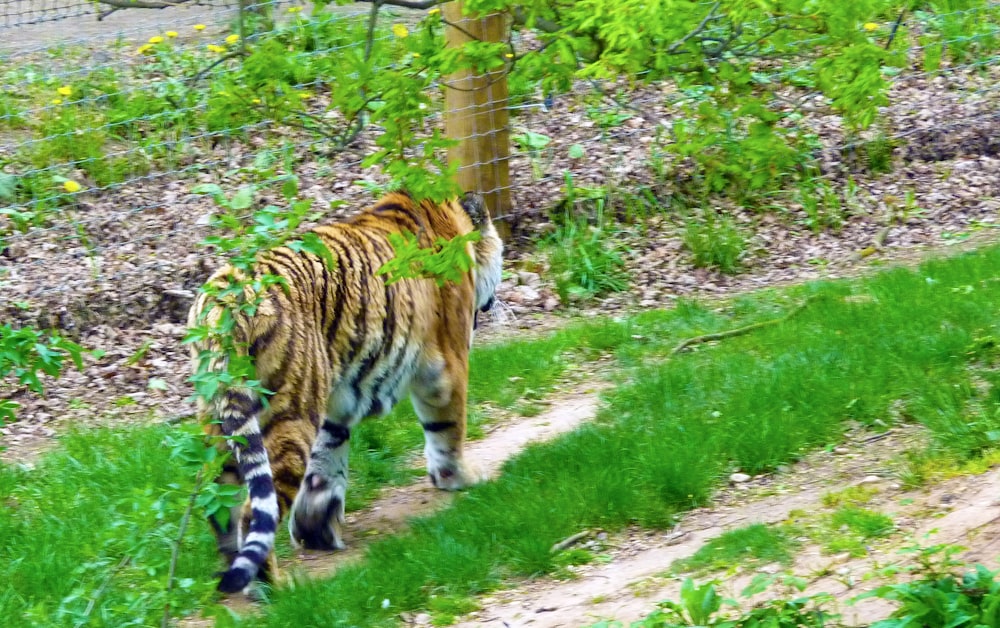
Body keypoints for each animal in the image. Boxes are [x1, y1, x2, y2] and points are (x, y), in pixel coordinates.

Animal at [187, 191, 504, 592]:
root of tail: (223, 299)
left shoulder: (337, 399)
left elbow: (327, 457)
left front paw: (315, 527)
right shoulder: (446, 367)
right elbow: (448, 431)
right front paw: (460, 478)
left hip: (221, 419)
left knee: (218, 504)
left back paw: (235, 578)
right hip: (290, 411)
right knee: (253, 510)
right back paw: (274, 588)